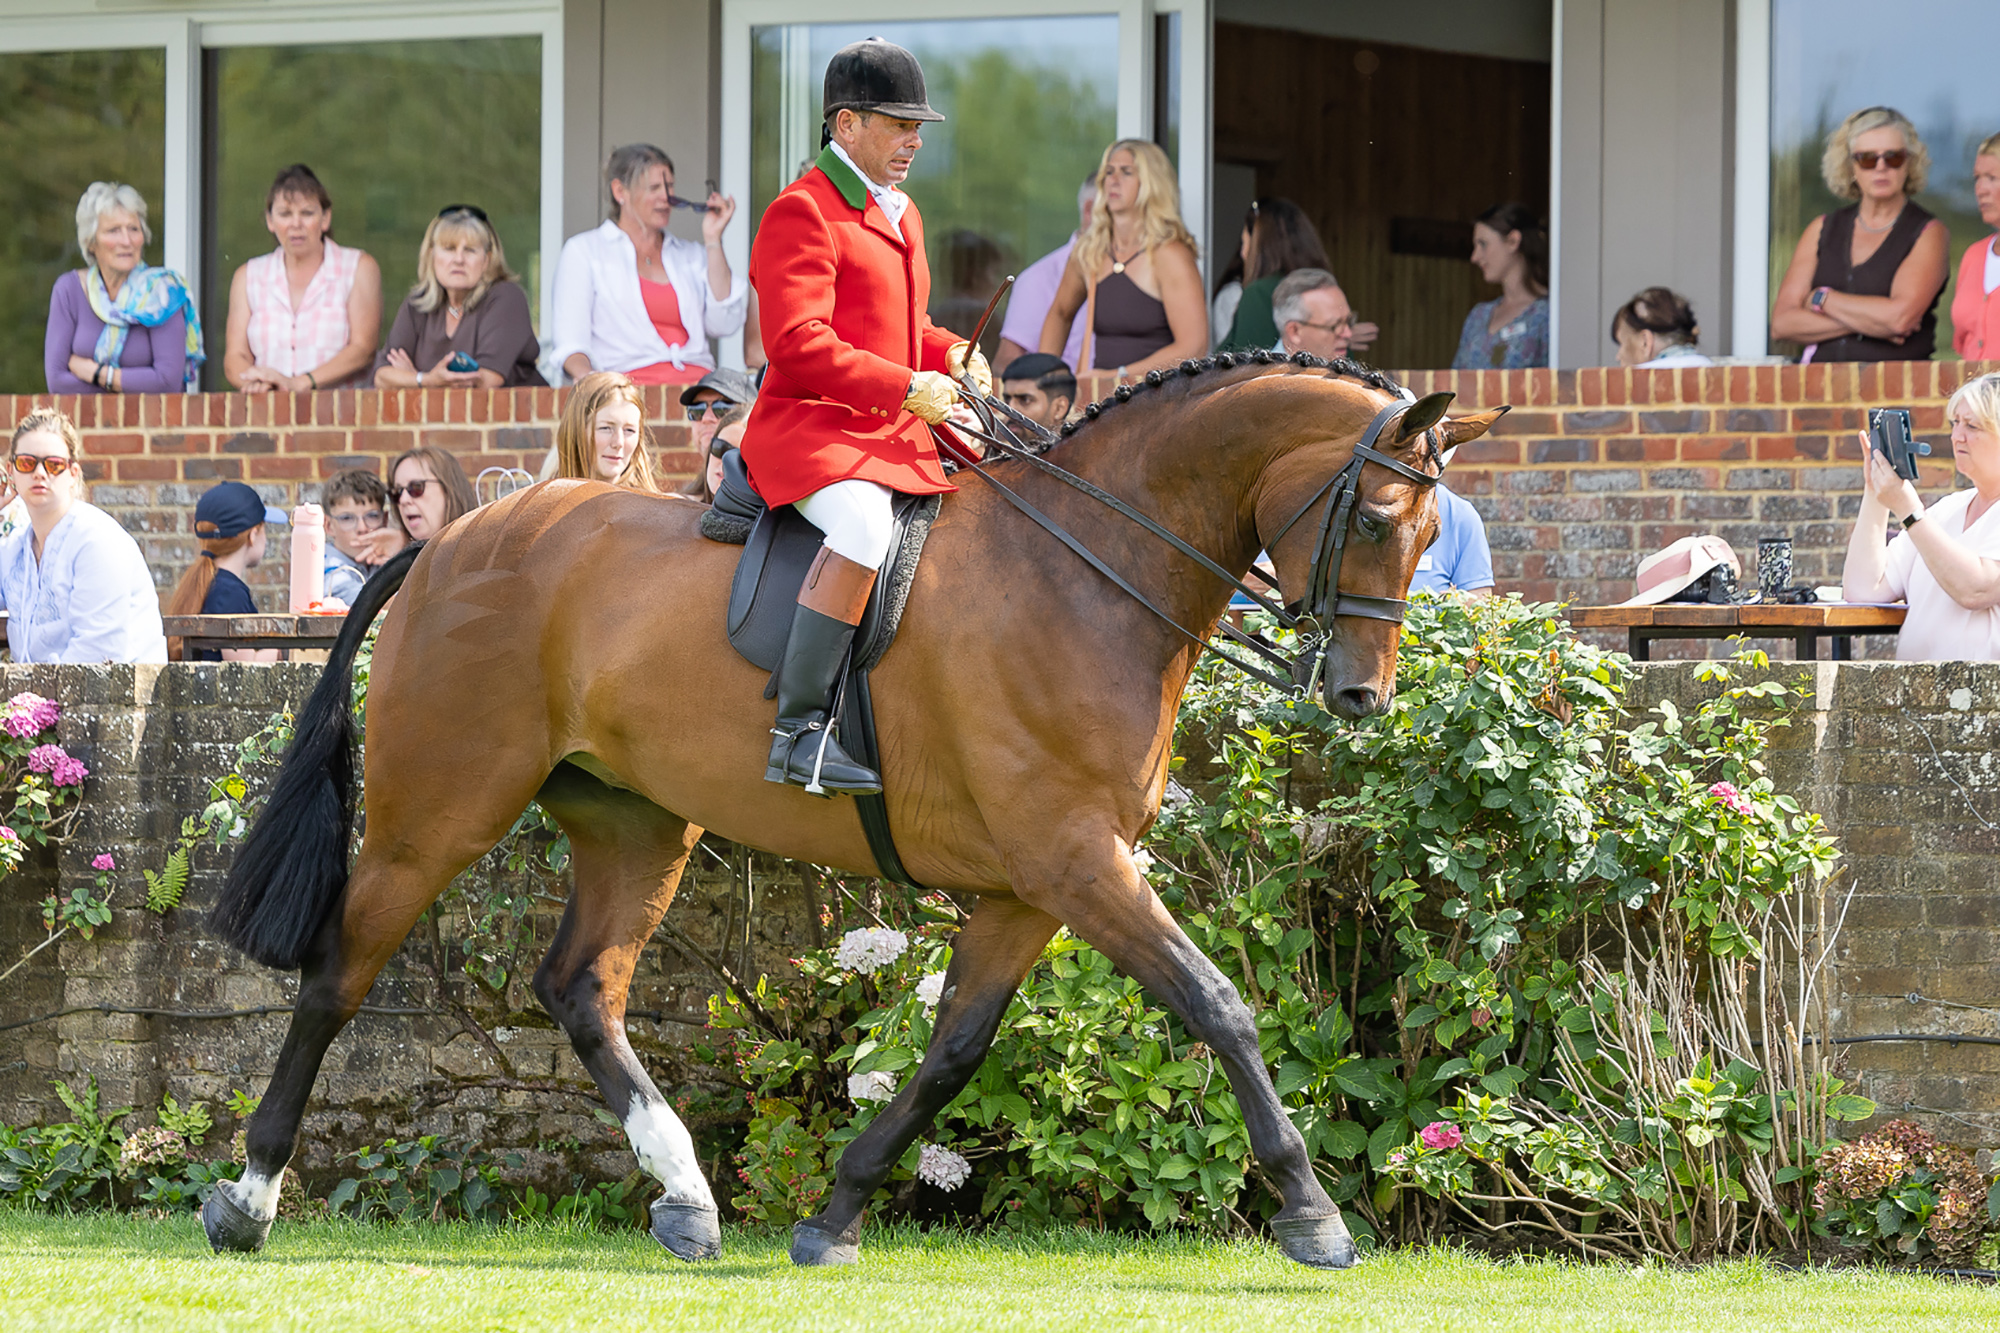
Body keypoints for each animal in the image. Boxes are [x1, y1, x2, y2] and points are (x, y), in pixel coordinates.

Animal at [200, 353, 1502, 1269]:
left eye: (1431, 534)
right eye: (1375, 519)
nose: (1361, 697)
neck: (1085, 567)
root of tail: (448, 543)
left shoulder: (1030, 885)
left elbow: (953, 1050)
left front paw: (834, 1211)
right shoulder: (1077, 861)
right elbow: (1218, 1005)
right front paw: (1312, 1212)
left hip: (635, 822)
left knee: (580, 985)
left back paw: (685, 1193)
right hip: (441, 806)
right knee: (340, 973)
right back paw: (249, 1197)